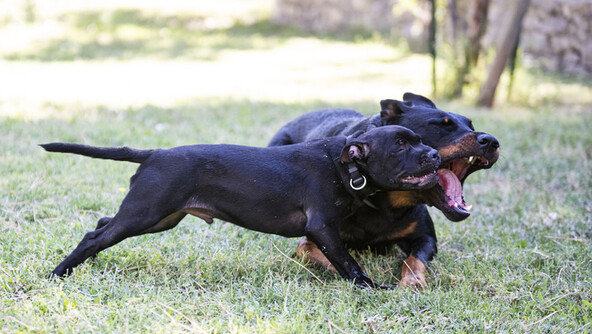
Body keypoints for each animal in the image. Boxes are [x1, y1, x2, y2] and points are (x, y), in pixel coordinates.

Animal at [41, 125, 440, 288]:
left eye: (420, 140)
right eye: (401, 146)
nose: (435, 155)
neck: (344, 165)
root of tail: (154, 154)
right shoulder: (322, 228)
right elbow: (349, 263)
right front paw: (372, 288)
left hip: (158, 218)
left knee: (101, 225)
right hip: (145, 213)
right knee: (93, 236)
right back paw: (58, 274)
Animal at [270, 92, 500, 288]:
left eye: (470, 125)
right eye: (442, 125)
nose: (492, 141)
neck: (383, 200)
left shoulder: (425, 238)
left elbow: (413, 260)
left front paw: (413, 282)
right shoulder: (314, 238)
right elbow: (332, 258)